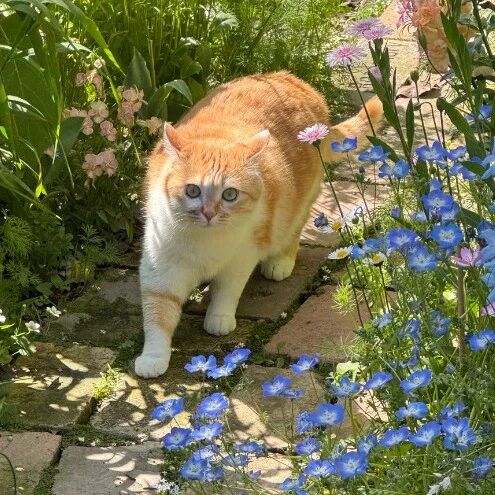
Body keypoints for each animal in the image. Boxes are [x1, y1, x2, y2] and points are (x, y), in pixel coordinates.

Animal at [135, 71, 382, 378]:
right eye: (192, 191)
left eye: (230, 194)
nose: (208, 213)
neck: (205, 241)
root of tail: (290, 78)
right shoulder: (161, 269)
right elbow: (158, 315)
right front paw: (153, 358)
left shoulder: (242, 257)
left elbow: (227, 290)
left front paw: (219, 317)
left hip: (300, 204)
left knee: (293, 231)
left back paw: (280, 262)